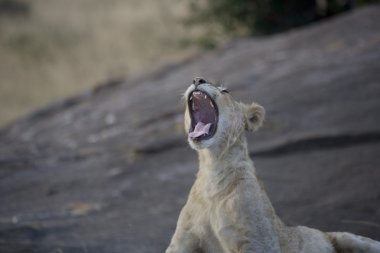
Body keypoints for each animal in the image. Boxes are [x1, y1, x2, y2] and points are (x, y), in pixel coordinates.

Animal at [166, 77, 380, 253]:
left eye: (225, 91)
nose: (197, 79)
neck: (212, 166)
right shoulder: (182, 240)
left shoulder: (257, 241)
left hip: (348, 237)